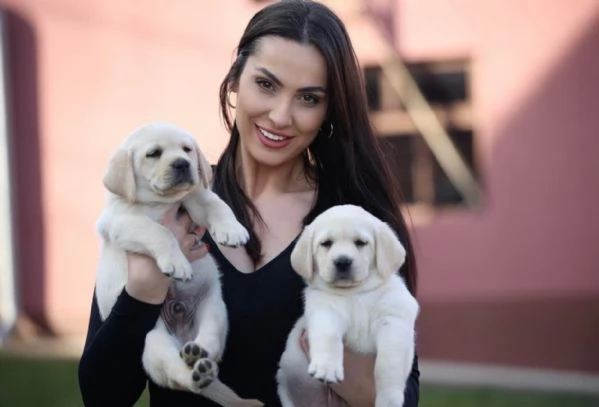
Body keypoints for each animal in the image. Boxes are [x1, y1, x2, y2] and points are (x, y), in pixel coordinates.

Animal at [94, 122, 262, 407]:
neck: (159, 202)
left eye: (187, 149)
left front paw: (232, 230)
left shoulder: (192, 198)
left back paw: (199, 355)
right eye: (153, 154)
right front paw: (177, 263)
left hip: (215, 310)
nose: (183, 164)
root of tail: (183, 337)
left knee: (211, 345)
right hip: (153, 343)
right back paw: (197, 371)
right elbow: (160, 232)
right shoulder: (123, 221)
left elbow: (214, 201)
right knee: (178, 376)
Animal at [276, 206, 418, 407]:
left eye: (360, 243)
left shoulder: (393, 320)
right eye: (326, 243)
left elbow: (388, 363)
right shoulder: (325, 311)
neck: (356, 293)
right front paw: (326, 366)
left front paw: (388, 398)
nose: (342, 261)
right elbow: (328, 336)